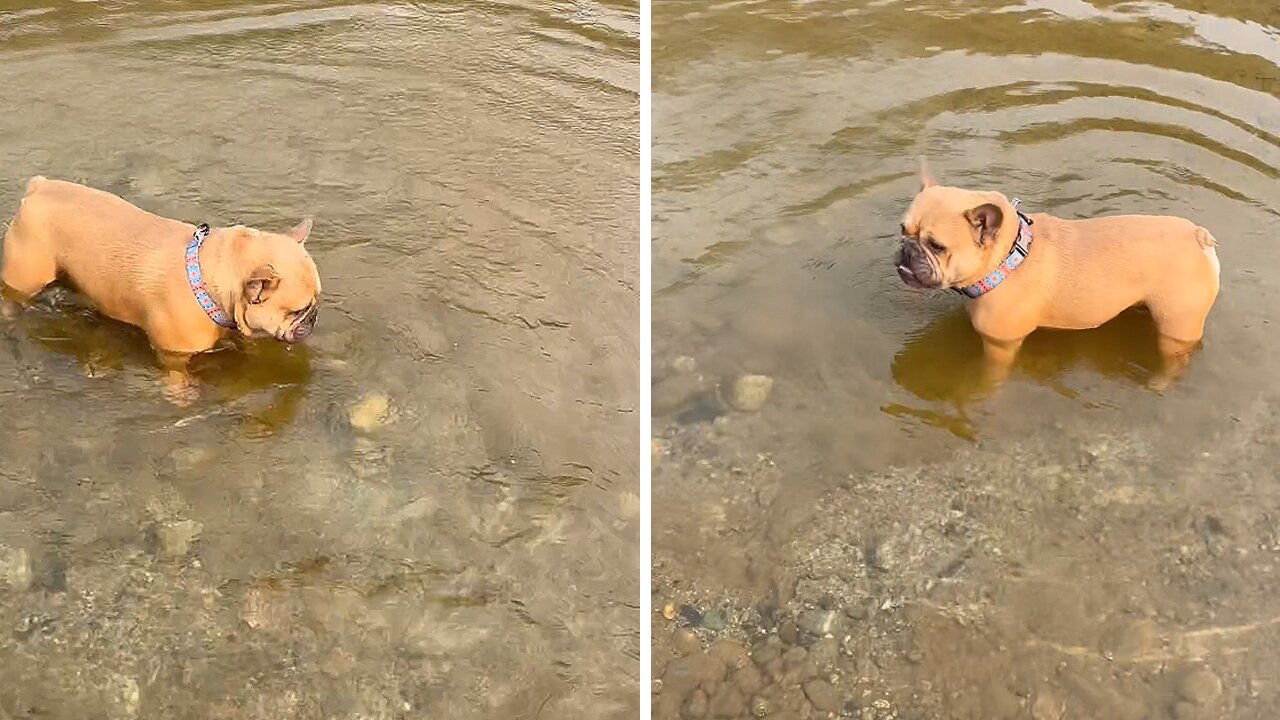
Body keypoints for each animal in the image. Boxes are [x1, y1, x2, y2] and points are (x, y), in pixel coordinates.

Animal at [1, 175, 320, 399]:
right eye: (298, 310)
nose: (314, 317)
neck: (206, 279)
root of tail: (39, 187)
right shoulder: (173, 355)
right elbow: (177, 377)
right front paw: (184, 396)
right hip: (26, 275)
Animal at [896, 162, 1223, 389]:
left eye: (936, 246)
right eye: (903, 229)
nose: (907, 249)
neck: (1009, 259)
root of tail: (1198, 236)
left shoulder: (1001, 346)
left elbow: (991, 373)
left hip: (1177, 325)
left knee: (1174, 359)